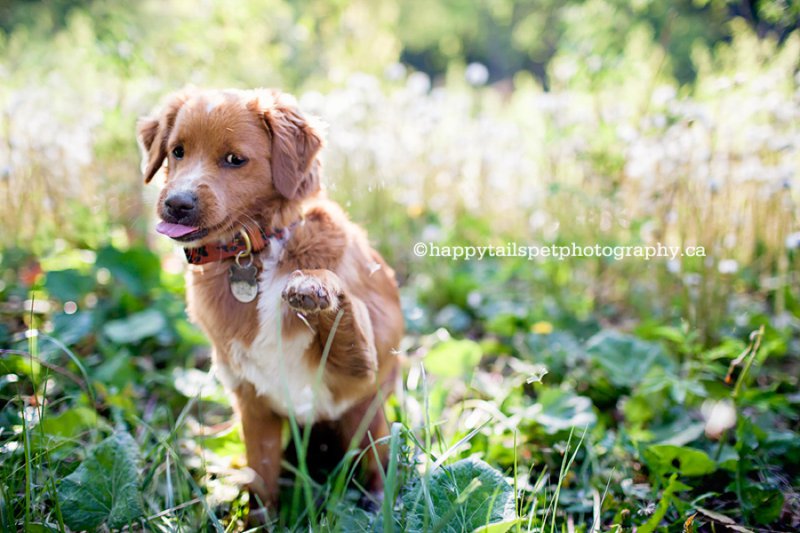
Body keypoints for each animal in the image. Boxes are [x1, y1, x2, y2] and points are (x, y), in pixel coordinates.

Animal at [136, 87, 406, 516]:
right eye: (177, 151)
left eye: (234, 159)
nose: (176, 204)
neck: (257, 253)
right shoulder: (253, 407)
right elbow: (261, 487)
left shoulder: (359, 373)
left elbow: (344, 305)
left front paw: (313, 285)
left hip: (367, 419)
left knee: (376, 463)